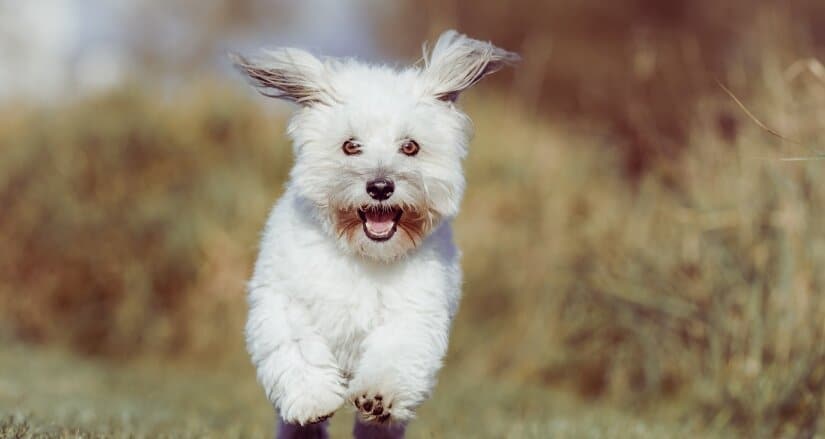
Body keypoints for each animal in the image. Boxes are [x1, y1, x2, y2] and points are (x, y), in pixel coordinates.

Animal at [232, 29, 516, 438]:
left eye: (410, 146)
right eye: (350, 145)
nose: (380, 186)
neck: (364, 254)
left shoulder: (413, 313)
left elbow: (394, 354)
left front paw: (378, 397)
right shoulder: (286, 302)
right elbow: (300, 349)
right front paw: (313, 399)